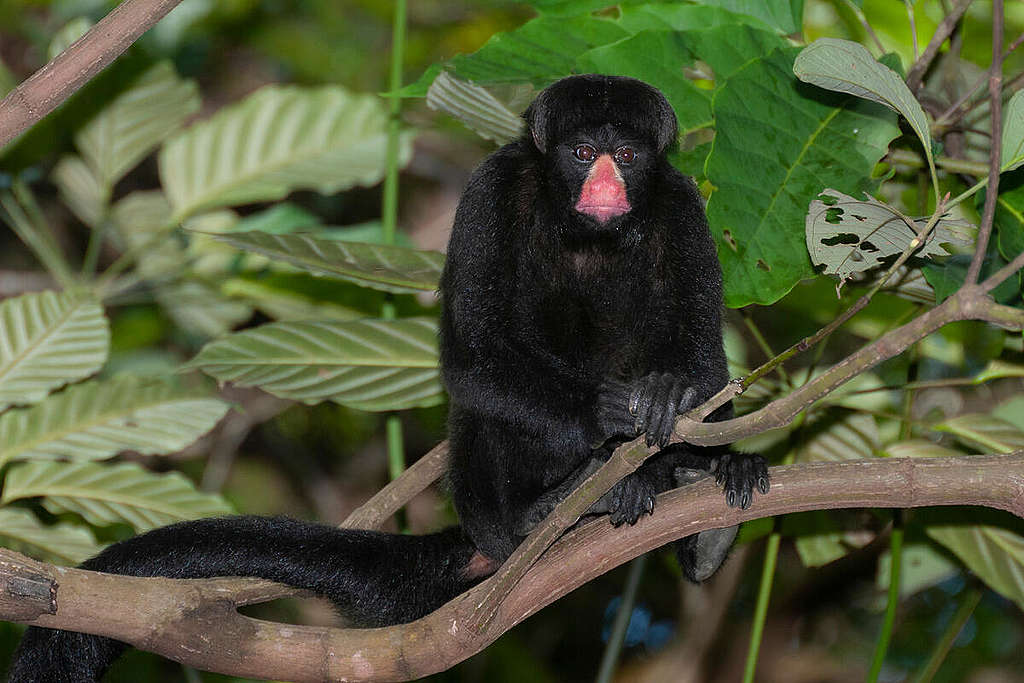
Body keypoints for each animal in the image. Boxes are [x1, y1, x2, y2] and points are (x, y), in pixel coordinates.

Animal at [6, 74, 770, 683]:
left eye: (629, 157)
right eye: (583, 153)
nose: (607, 184)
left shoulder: (680, 202)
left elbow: (703, 361)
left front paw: (676, 412)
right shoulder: (493, 188)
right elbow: (472, 358)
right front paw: (611, 412)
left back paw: (691, 484)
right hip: (484, 496)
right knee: (486, 403)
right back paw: (556, 504)